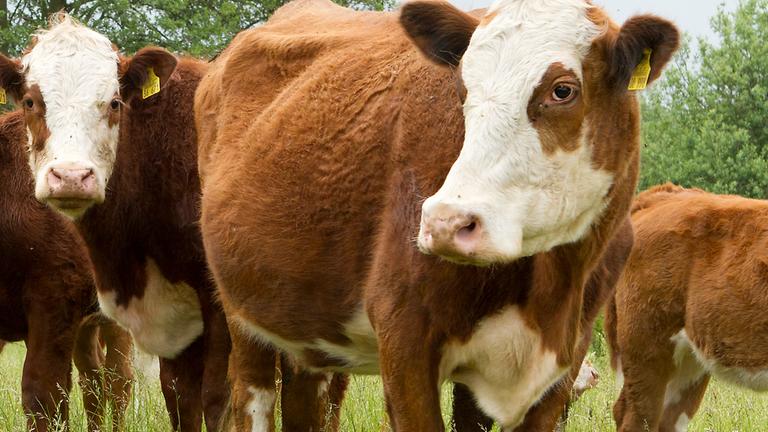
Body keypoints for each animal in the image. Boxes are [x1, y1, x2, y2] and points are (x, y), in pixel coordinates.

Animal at [194, 0, 677, 429]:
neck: (547, 290)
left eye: (563, 90)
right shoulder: (405, 345)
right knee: (252, 398)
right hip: (243, 318)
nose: (447, 222)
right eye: (463, 90)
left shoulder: (561, 366)